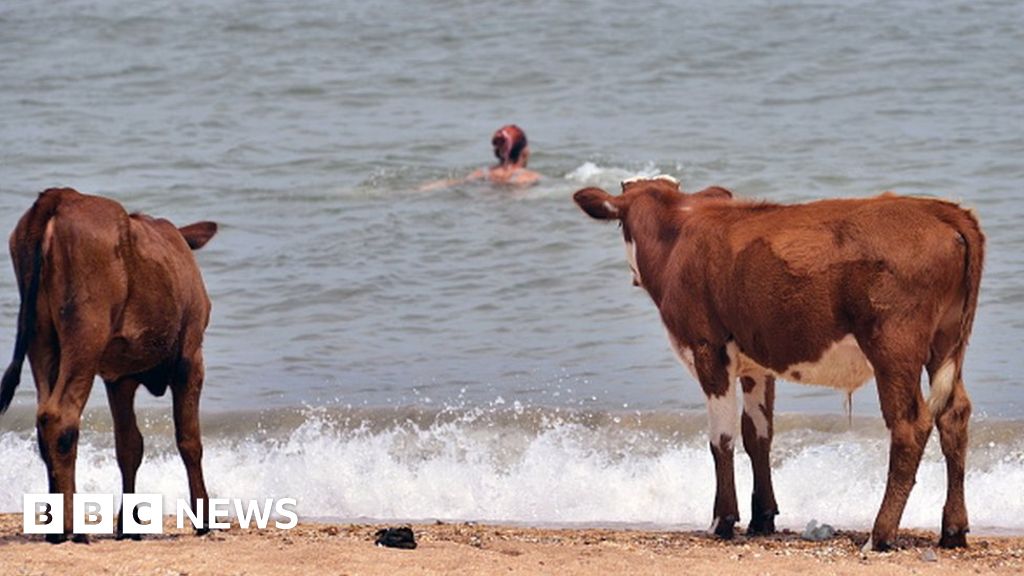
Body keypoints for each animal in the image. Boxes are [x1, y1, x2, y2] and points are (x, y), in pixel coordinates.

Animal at [0, 187, 218, 542]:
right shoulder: (191, 357)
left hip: (40, 338)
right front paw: (204, 519)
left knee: (44, 419)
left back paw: (53, 526)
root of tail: (61, 195)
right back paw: (70, 529)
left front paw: (127, 525)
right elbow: (189, 440)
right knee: (61, 417)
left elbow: (129, 446)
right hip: (86, 332)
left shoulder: (119, 377)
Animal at [573, 176, 984, 551]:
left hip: (893, 348)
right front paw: (762, 518)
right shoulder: (757, 365)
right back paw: (952, 530)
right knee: (954, 415)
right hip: (946, 342)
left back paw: (879, 535)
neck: (679, 234)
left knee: (909, 426)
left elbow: (721, 439)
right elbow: (758, 435)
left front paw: (722, 521)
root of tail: (937, 209)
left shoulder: (708, 350)